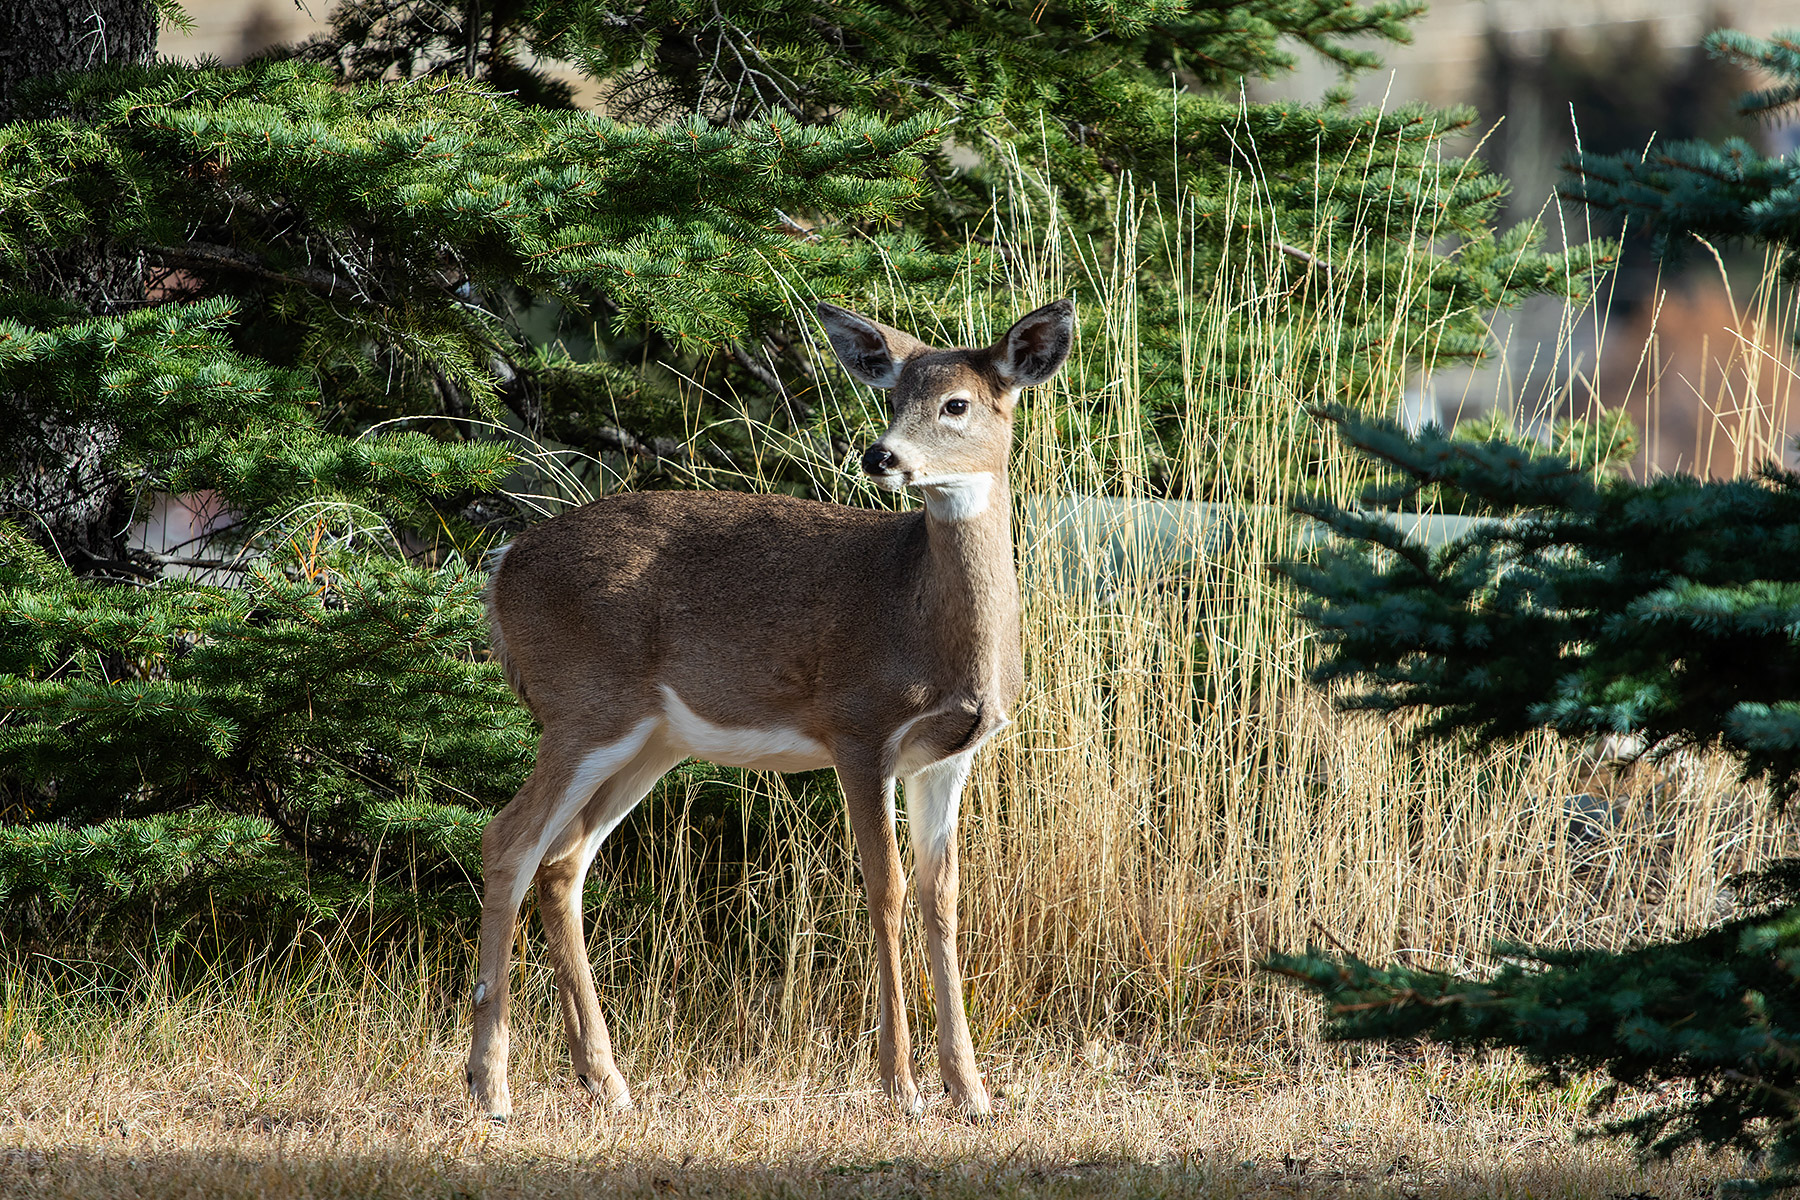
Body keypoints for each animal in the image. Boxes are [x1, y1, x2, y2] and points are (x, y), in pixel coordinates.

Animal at [465, 298, 1074, 1122]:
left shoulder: (950, 755)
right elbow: (884, 890)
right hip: (583, 706)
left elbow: (941, 897)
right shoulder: (859, 725)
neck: (924, 617)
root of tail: (500, 568)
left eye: (957, 404)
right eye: (891, 397)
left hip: (650, 740)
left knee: (562, 861)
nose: (880, 456)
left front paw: (971, 1091)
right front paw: (902, 1086)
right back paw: (492, 1086)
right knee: (508, 840)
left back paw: (606, 1081)